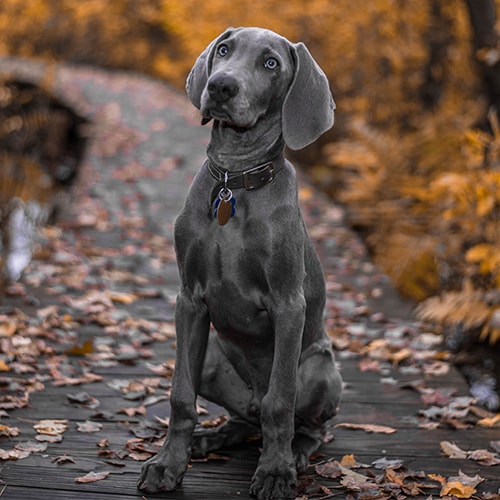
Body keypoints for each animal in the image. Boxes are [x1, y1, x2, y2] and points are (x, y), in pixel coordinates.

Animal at [139, 26, 342, 500]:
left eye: (271, 63)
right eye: (224, 50)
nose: (220, 87)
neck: (236, 179)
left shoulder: (288, 304)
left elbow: (279, 403)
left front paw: (275, 472)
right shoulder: (189, 299)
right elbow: (180, 397)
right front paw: (167, 465)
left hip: (321, 369)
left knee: (303, 424)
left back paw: (296, 452)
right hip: (213, 358)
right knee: (243, 419)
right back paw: (210, 438)